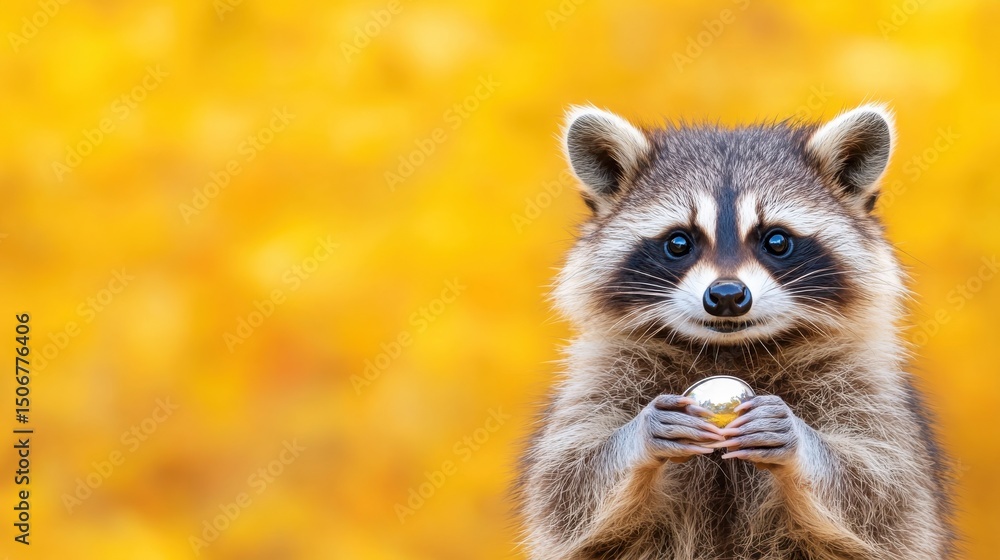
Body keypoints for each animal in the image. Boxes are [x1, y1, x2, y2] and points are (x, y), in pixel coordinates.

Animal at [518, 104, 954, 559]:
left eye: (777, 241)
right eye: (678, 243)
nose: (727, 296)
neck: (728, 347)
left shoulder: (867, 387)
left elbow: (888, 493)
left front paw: (801, 442)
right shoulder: (602, 373)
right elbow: (563, 486)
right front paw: (637, 434)